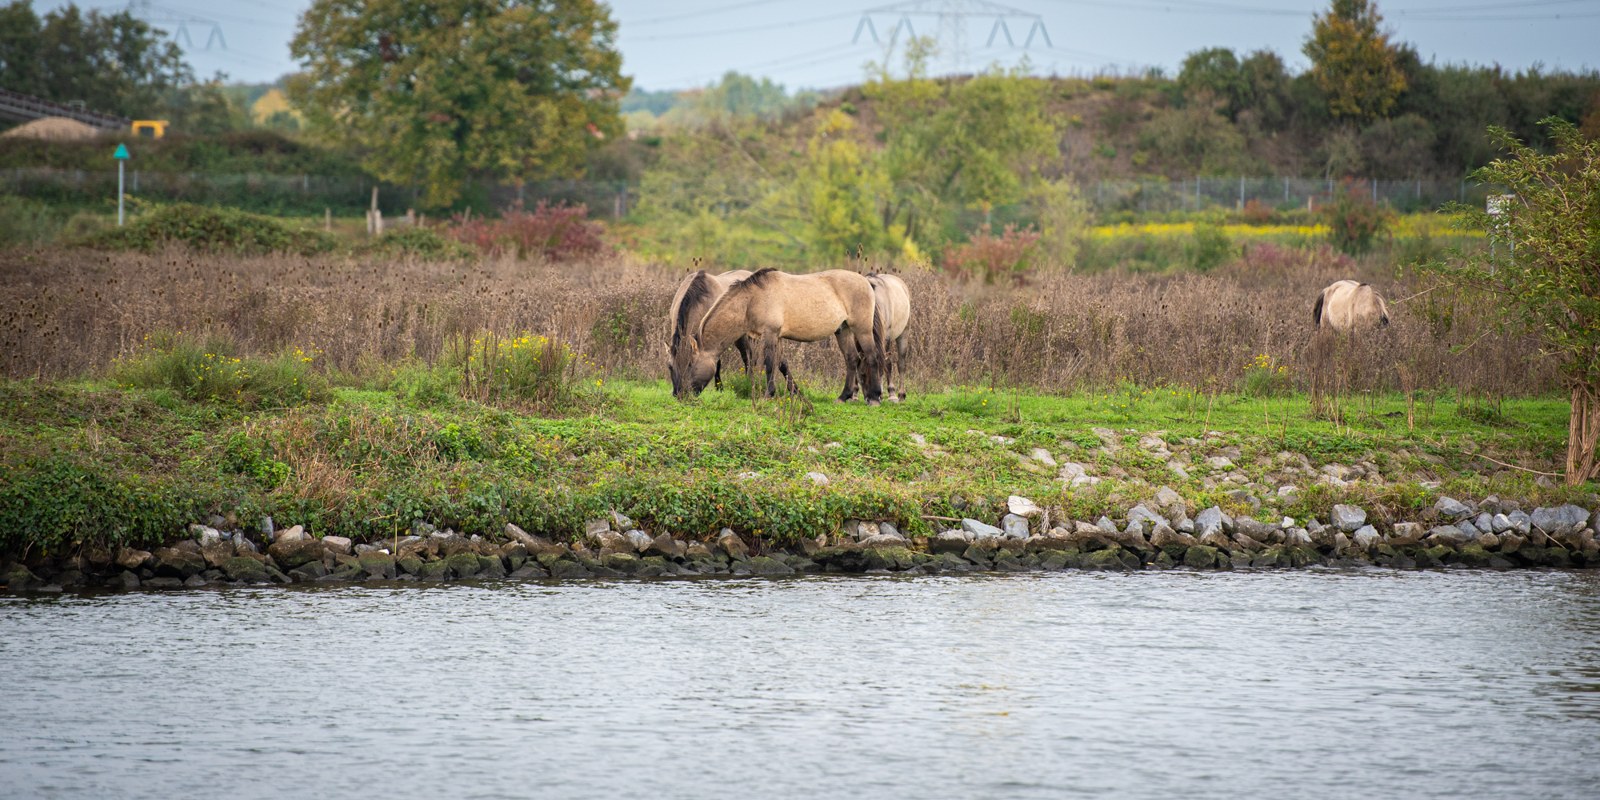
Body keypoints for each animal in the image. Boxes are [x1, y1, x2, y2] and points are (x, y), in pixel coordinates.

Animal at [676, 268, 884, 404]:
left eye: (690, 364)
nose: (683, 394)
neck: (752, 300)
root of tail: (866, 281)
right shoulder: (777, 336)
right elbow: (781, 364)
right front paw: (792, 392)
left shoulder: (770, 333)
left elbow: (769, 363)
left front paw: (769, 394)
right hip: (843, 330)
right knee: (852, 359)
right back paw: (843, 396)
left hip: (862, 329)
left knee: (871, 357)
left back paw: (874, 397)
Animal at [861, 272, 911, 401]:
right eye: (862, 375)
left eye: (877, 372)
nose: (870, 398)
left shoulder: (886, 336)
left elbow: (887, 364)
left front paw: (891, 394)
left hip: (903, 333)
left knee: (901, 364)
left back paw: (901, 394)